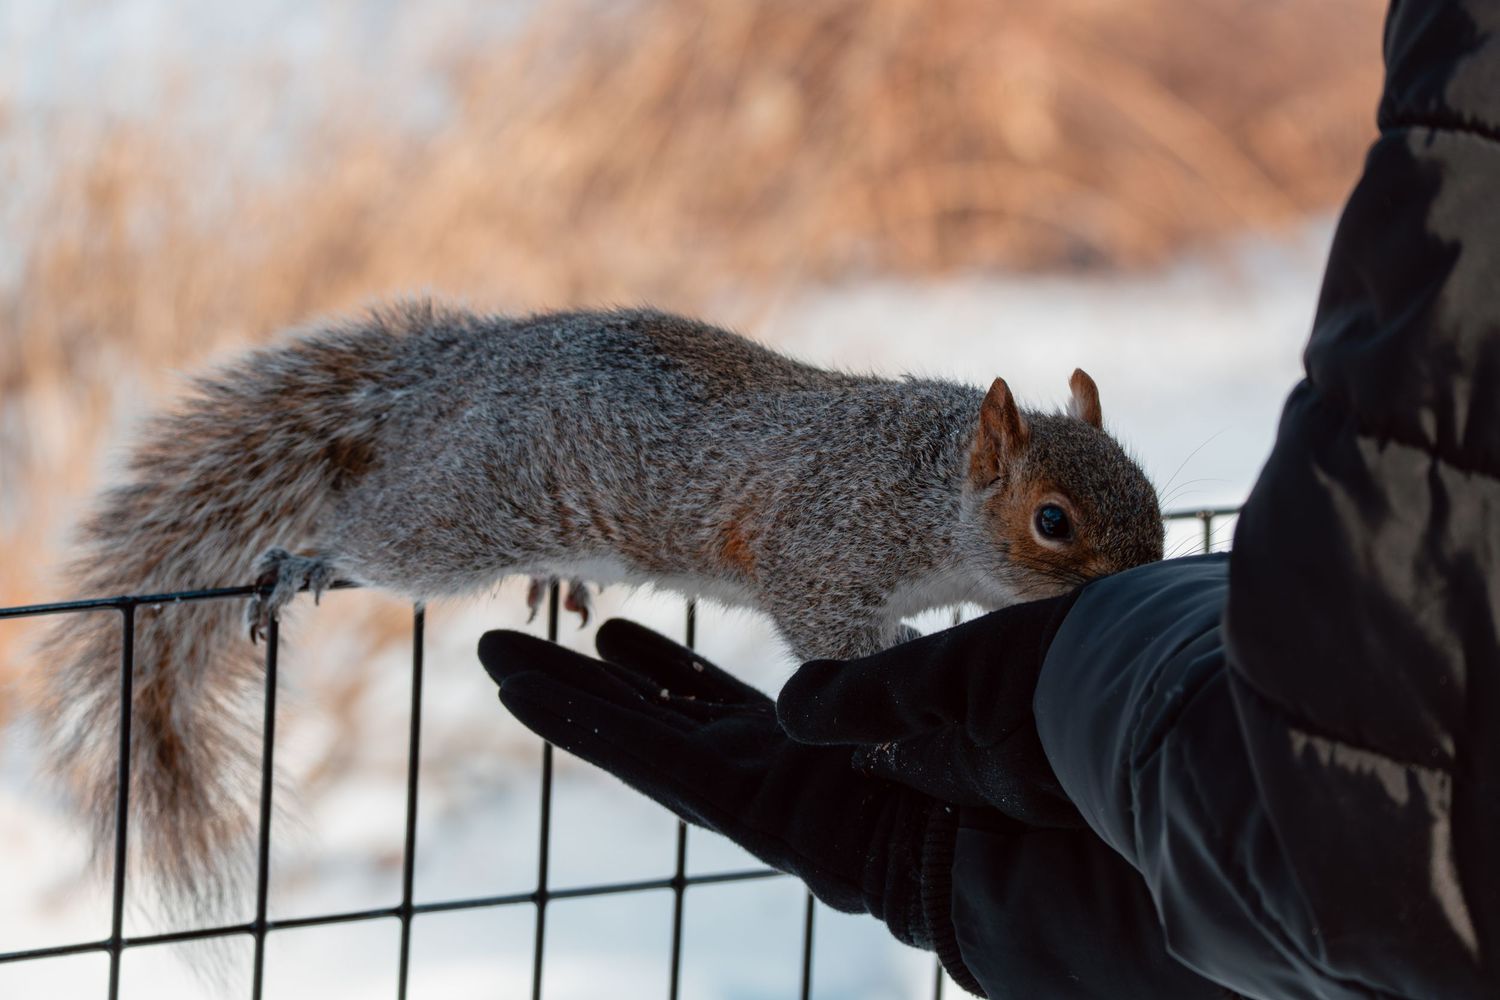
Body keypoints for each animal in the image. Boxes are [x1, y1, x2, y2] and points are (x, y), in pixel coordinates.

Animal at [38, 300, 1163, 925]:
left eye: (1151, 494)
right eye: (1052, 520)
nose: (1146, 577)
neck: (933, 490)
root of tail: (462, 367)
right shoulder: (825, 543)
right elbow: (830, 630)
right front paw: (904, 681)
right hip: (467, 510)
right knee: (384, 534)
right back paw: (308, 555)